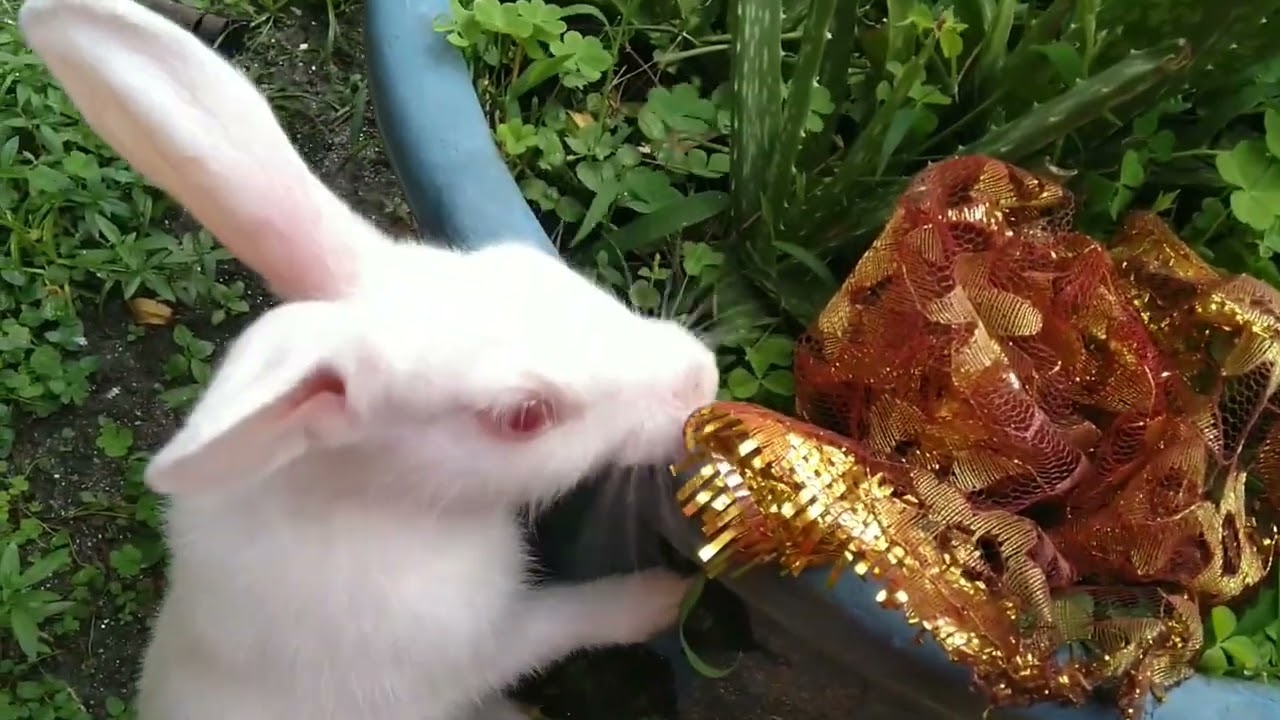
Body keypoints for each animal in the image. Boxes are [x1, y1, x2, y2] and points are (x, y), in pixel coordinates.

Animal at [18, 1, 720, 719]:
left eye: (523, 268)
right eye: (525, 415)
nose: (702, 376)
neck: (387, 501)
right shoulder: (476, 645)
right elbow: (569, 620)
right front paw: (666, 597)